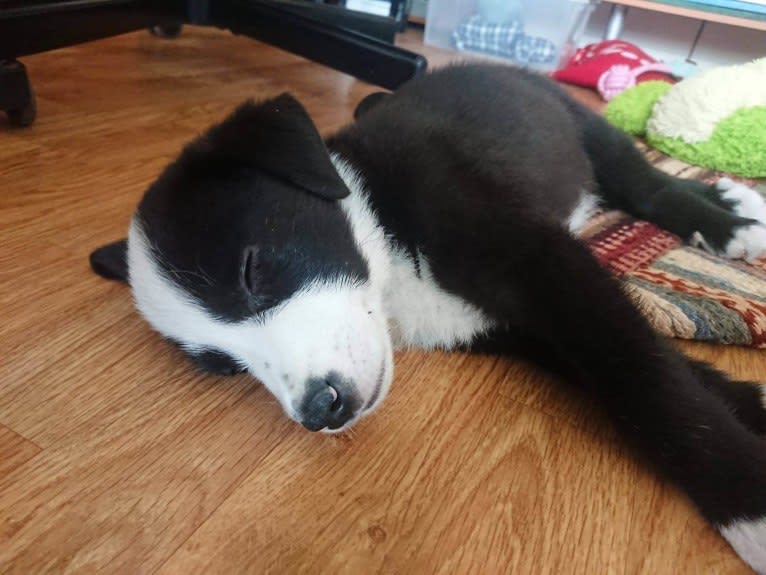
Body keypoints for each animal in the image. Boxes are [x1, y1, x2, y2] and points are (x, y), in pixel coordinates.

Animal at [93, 64, 766, 572]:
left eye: (251, 271)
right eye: (226, 368)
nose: (319, 410)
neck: (391, 264)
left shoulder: (543, 263)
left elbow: (647, 383)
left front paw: (749, 510)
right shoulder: (506, 323)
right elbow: (651, 366)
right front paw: (752, 405)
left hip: (582, 124)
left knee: (645, 183)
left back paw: (725, 218)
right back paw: (731, 198)